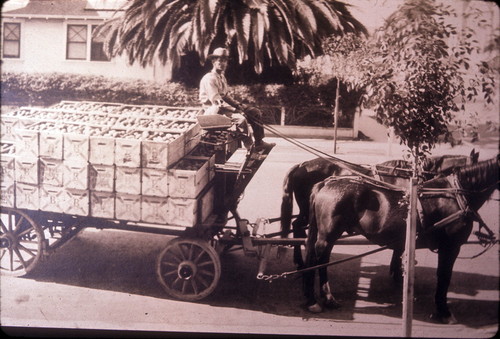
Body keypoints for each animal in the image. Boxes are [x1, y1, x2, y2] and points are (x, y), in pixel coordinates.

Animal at [302, 157, 498, 324]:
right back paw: (319, 300)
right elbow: (444, 277)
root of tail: (326, 183)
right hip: (327, 237)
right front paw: (444, 311)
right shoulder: (450, 248)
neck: (455, 195)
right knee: (317, 262)